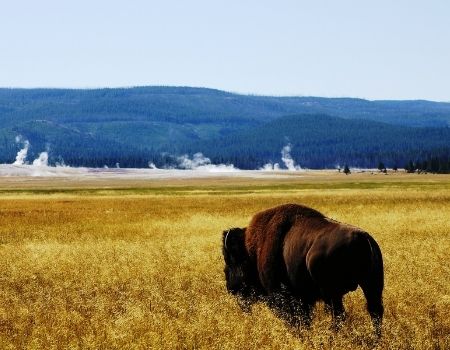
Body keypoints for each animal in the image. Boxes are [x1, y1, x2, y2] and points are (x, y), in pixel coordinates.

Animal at [221, 205, 384, 336]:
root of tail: (363, 238)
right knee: (375, 312)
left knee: (339, 315)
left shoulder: (281, 296)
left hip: (333, 293)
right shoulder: (304, 299)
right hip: (372, 286)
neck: (252, 250)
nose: (230, 288)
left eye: (230, 261)